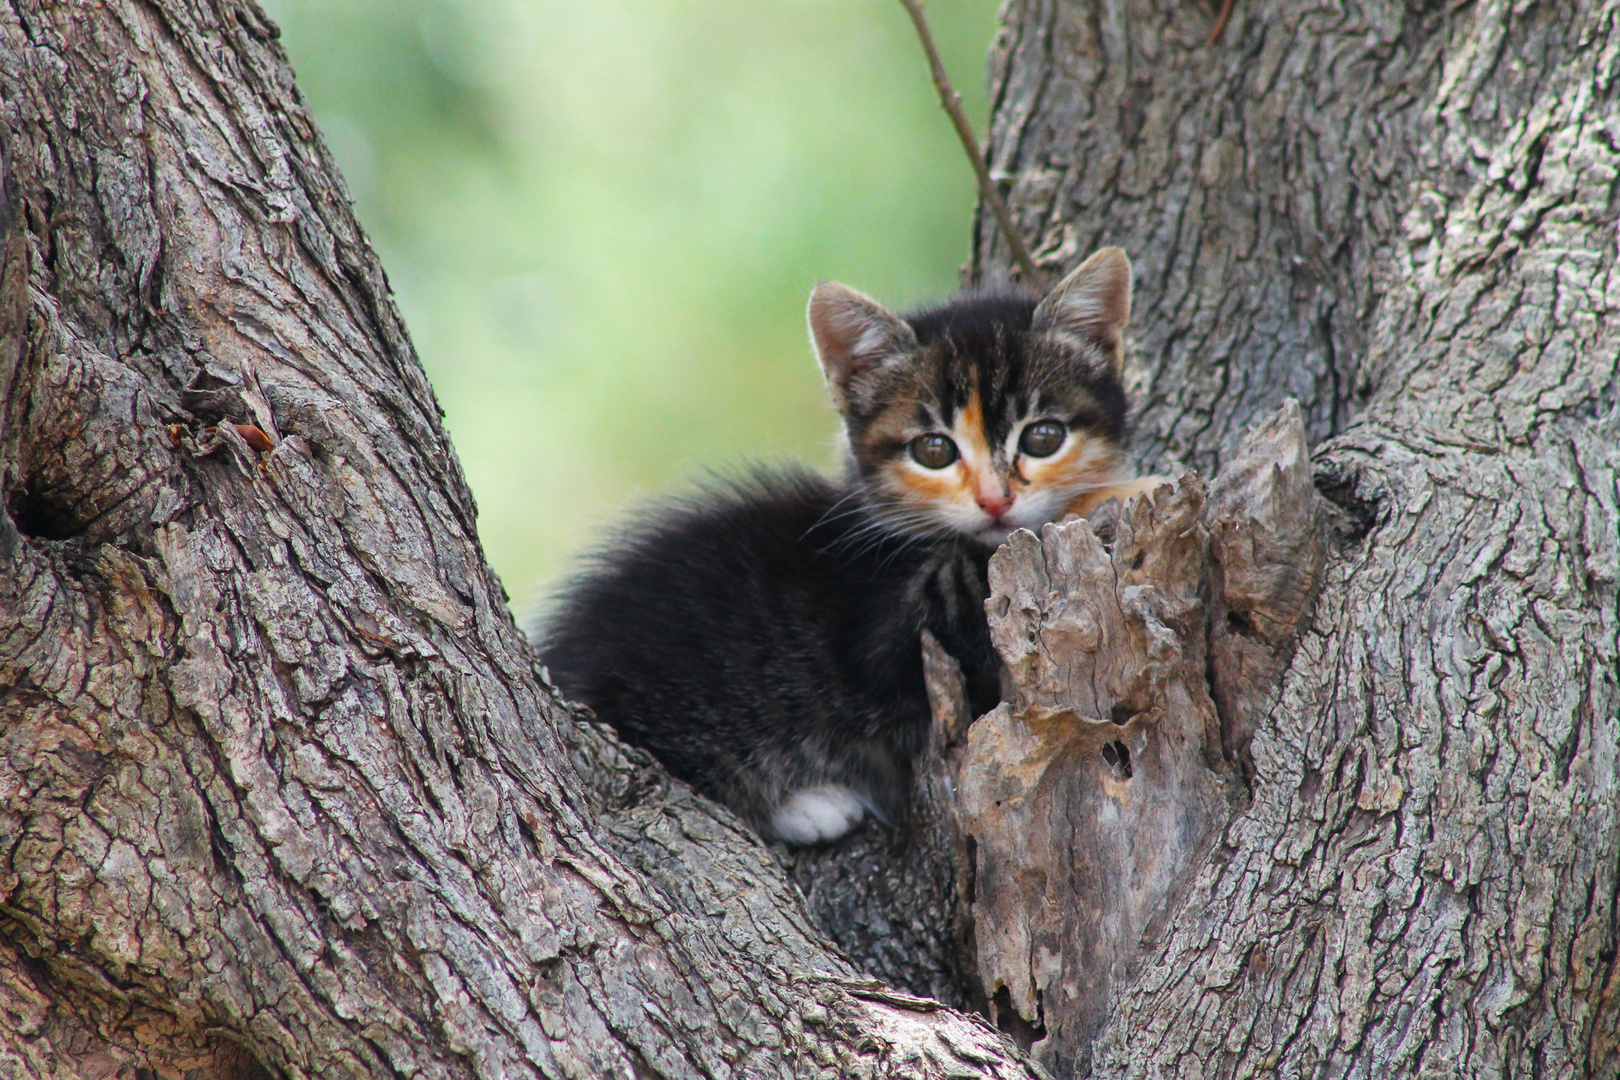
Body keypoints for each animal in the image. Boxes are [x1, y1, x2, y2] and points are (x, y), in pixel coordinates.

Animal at [544, 247, 1166, 841]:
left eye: (1043, 437)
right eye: (934, 451)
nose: (995, 500)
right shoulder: (897, 633)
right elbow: (981, 567)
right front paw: (1133, 485)